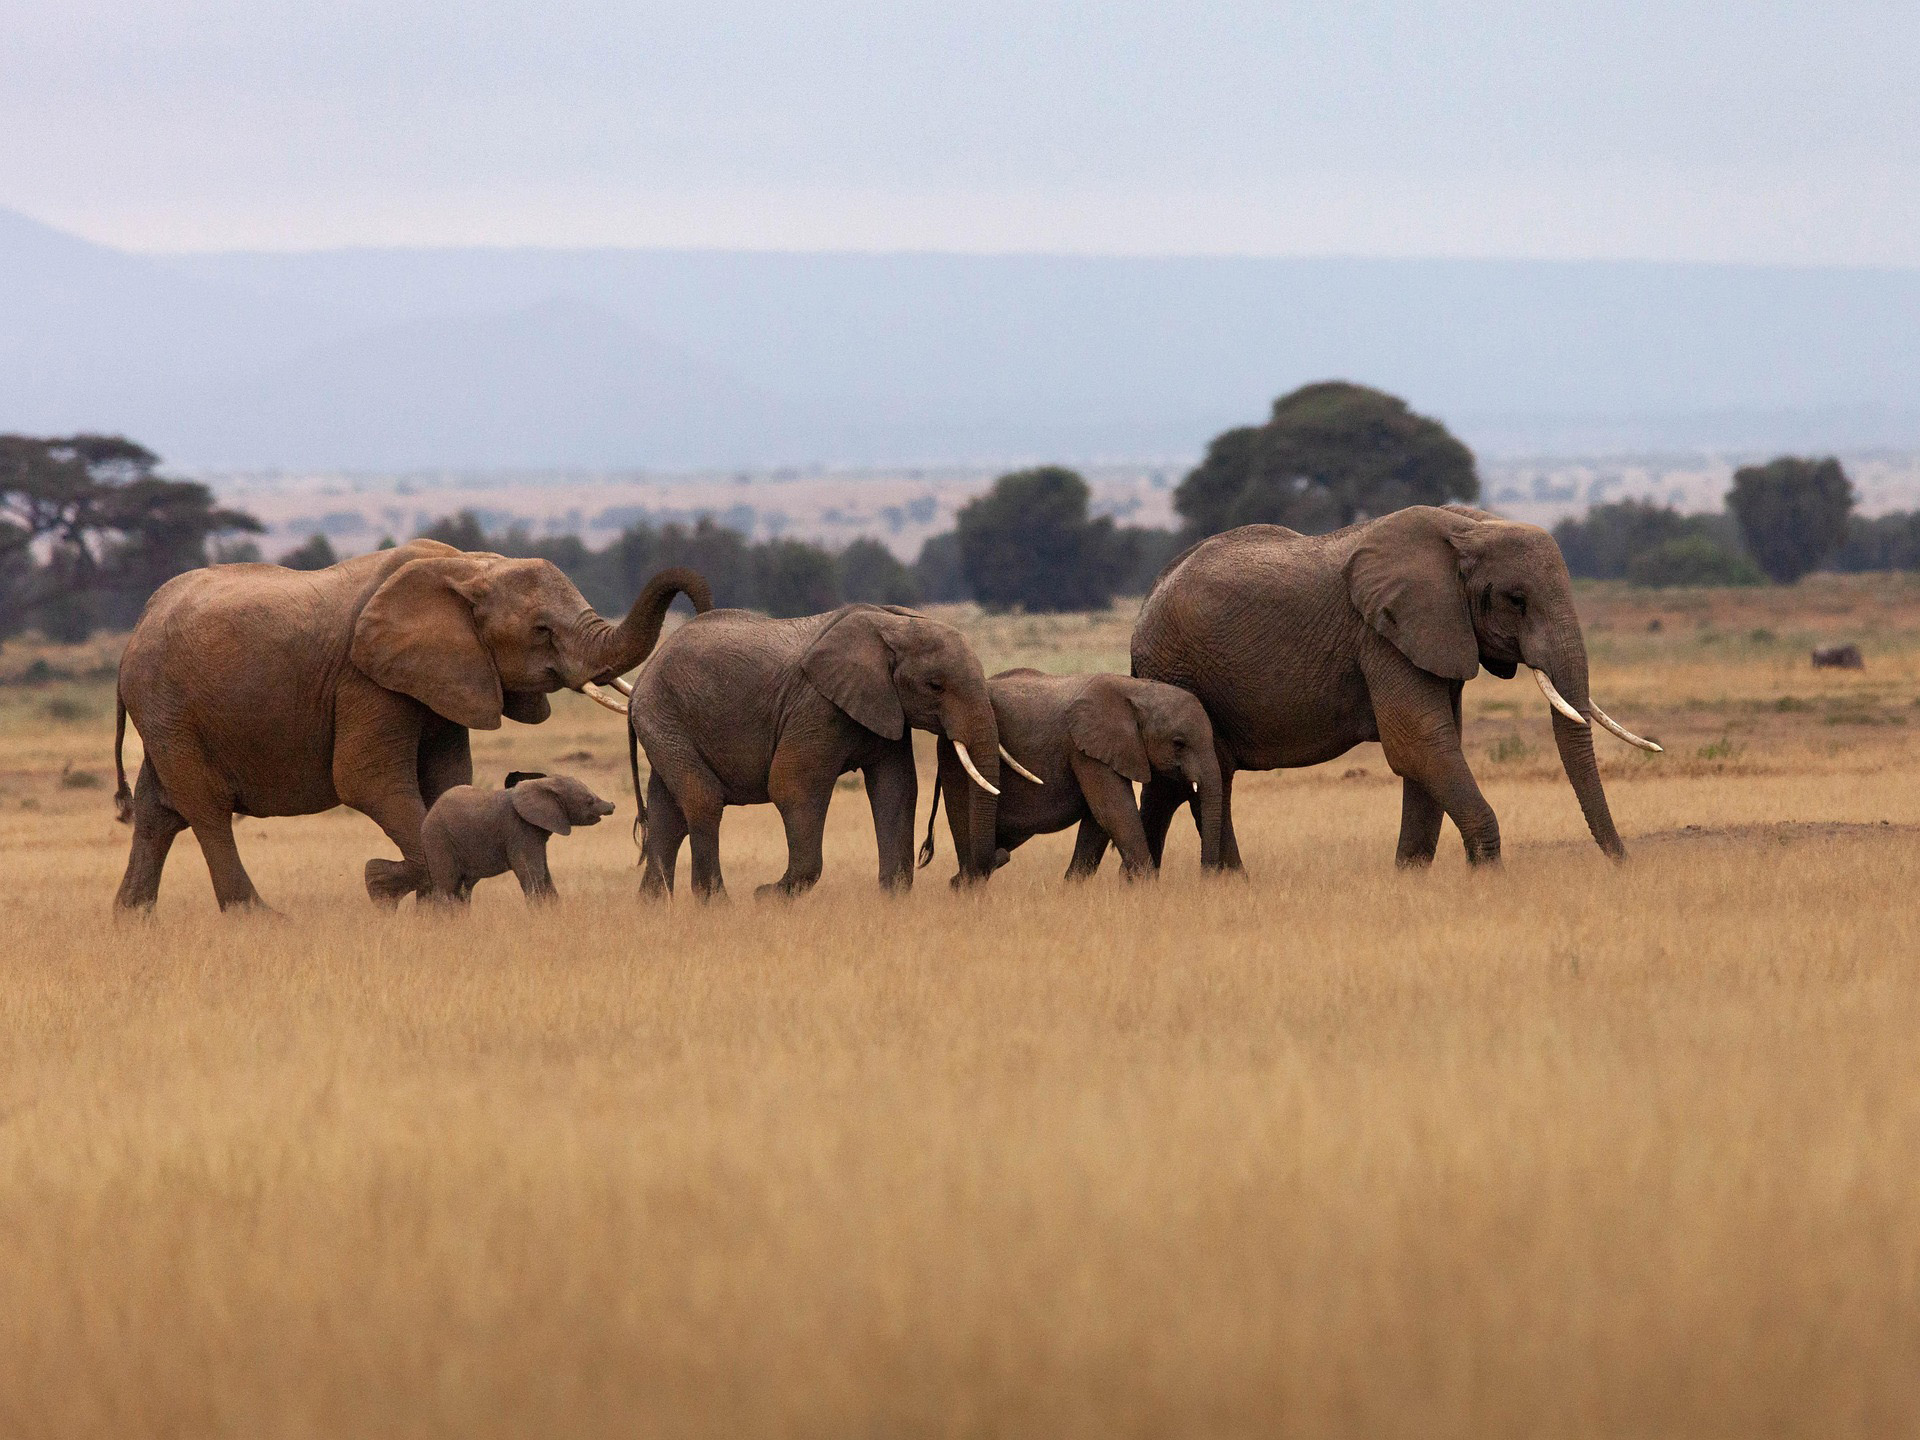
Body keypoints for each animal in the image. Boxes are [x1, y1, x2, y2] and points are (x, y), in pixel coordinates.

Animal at [420, 773, 615, 903]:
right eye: (589, 801)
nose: (612, 805)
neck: (544, 783)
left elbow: (544, 874)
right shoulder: (519, 829)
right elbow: (531, 874)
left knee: (463, 890)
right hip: (438, 839)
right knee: (447, 886)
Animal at [626, 602, 1017, 899]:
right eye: (935, 686)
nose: (999, 855)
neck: (894, 624)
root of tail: (644, 675)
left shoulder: (885, 709)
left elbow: (896, 789)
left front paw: (892, 898)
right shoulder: (816, 704)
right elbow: (793, 787)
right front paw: (766, 896)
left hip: (667, 725)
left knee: (667, 815)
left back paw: (654, 908)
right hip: (664, 718)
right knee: (702, 801)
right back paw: (717, 904)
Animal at [918, 669, 1225, 882]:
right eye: (1178, 743)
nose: (1207, 878)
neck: (1136, 690)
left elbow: (1098, 822)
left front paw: (1072, 890)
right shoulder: (1085, 748)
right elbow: (1115, 812)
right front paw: (1148, 889)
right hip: (954, 758)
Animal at [1130, 506, 1662, 870]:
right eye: (1516, 600)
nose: (1622, 864)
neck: (1466, 528)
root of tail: (1147, 601)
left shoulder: (1435, 635)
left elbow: (1434, 749)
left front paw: (1409, 877)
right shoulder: (1382, 637)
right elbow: (1422, 744)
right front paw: (1487, 875)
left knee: (1185, 783)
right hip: (1177, 667)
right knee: (1203, 780)